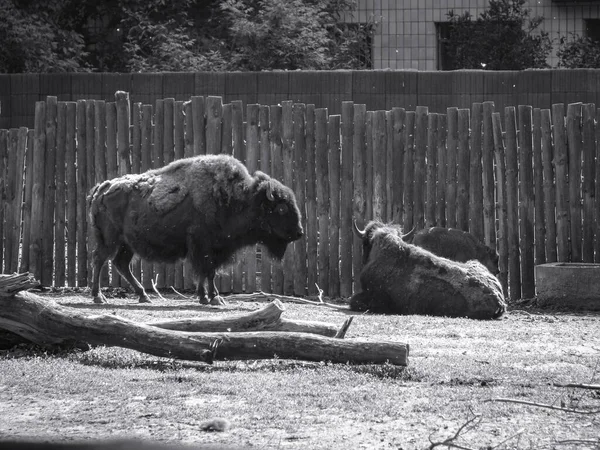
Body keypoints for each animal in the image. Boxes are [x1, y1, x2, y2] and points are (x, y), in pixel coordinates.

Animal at [88, 155, 304, 306]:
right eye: (282, 208)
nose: (299, 233)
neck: (240, 200)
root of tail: (102, 188)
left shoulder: (210, 249)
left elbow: (206, 273)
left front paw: (205, 297)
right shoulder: (204, 246)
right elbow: (208, 272)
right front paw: (214, 298)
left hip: (127, 244)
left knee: (120, 263)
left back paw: (144, 296)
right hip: (110, 240)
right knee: (99, 260)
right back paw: (99, 297)